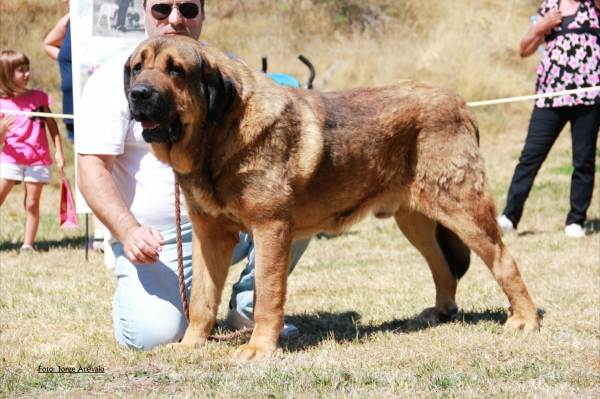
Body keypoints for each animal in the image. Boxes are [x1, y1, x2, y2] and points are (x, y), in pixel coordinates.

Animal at [125, 36, 540, 360]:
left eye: (176, 71)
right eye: (137, 68)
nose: (137, 94)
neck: (218, 134)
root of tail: (460, 103)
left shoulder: (271, 229)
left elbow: (266, 296)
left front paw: (259, 348)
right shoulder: (211, 235)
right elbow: (201, 299)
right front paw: (191, 344)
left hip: (463, 211)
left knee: (503, 261)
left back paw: (525, 320)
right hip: (414, 221)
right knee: (442, 265)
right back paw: (441, 312)